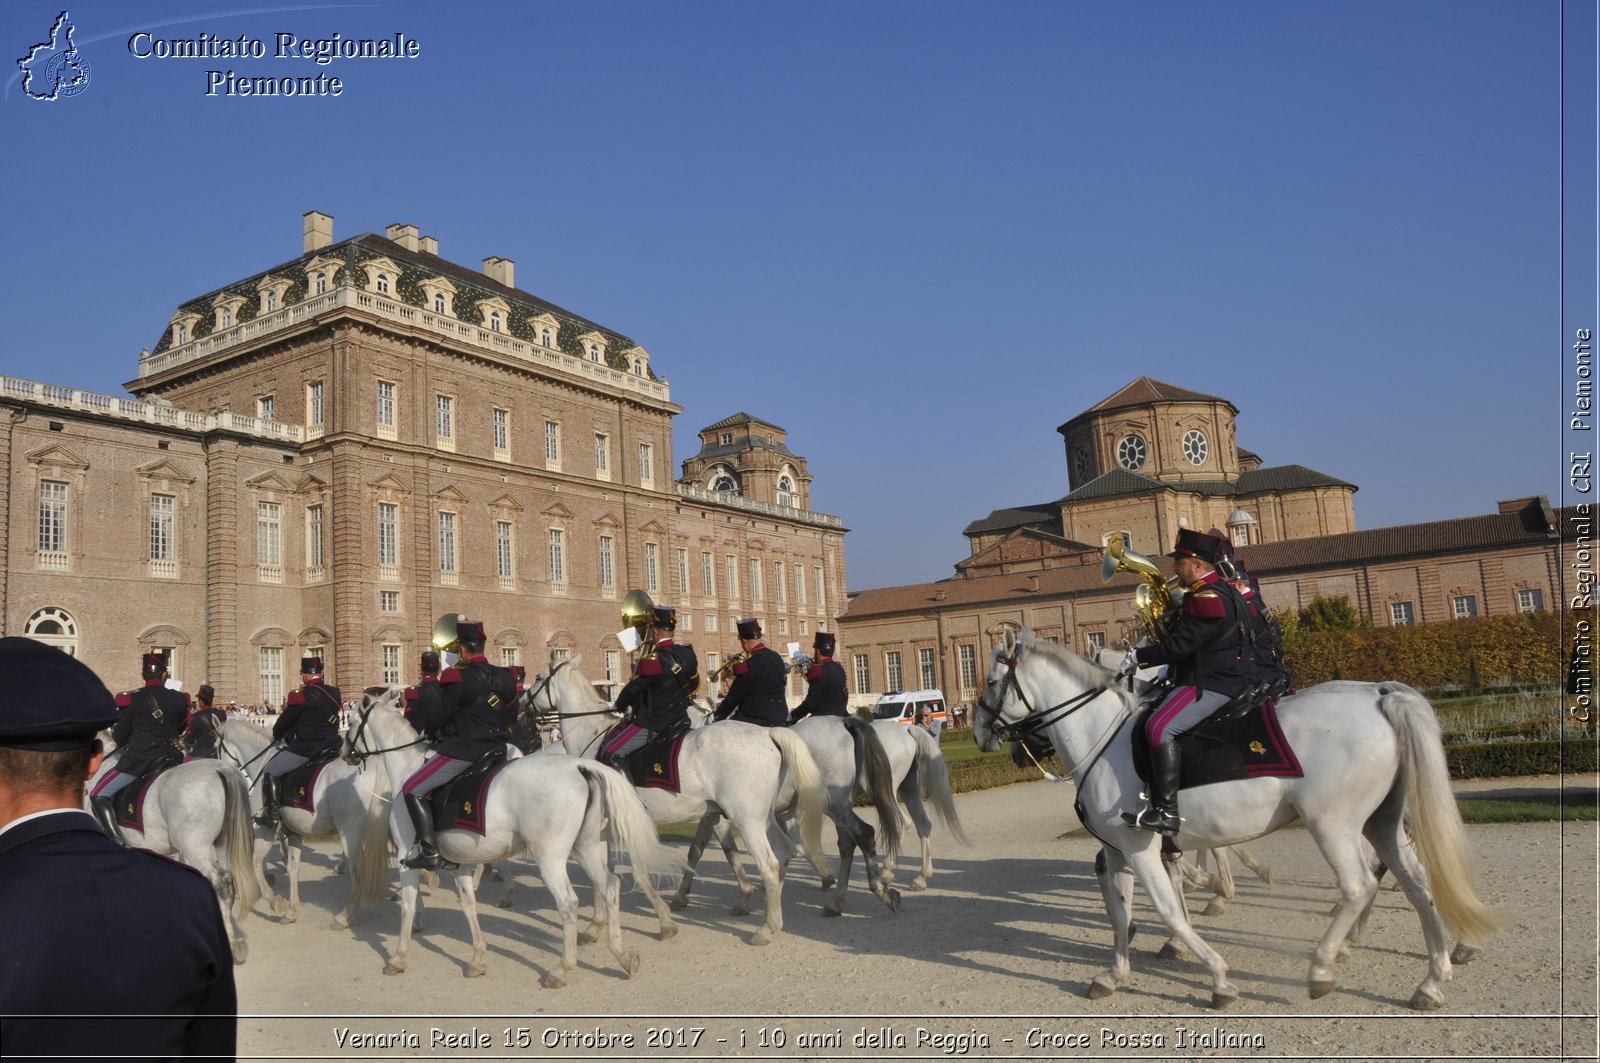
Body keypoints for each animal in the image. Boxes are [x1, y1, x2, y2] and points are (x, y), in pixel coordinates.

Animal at [216, 714, 390, 928]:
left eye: (216, 746)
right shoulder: (294, 832)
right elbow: (293, 869)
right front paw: (291, 911)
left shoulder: (266, 830)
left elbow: (255, 863)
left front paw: (276, 902)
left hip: (349, 833)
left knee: (358, 871)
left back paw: (343, 916)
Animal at [344, 694, 681, 986]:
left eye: (352, 721)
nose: (345, 752)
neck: (407, 769)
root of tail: (578, 765)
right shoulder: (462, 864)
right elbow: (469, 905)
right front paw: (477, 959)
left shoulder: (407, 858)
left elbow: (409, 906)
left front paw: (398, 957)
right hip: (586, 848)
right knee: (609, 887)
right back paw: (622, 954)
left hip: (550, 858)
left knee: (568, 903)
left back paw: (562, 968)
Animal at [528, 656, 825, 947]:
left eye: (538, 678)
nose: (523, 702)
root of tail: (766, 733)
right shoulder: (612, 826)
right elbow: (606, 873)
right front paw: (596, 926)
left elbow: (633, 871)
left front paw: (664, 919)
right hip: (763, 818)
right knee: (783, 851)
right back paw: (774, 914)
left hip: (747, 820)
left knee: (769, 863)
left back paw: (767, 927)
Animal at [966, 627, 1504, 1011]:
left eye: (991, 682)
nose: (980, 735)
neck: (1105, 735)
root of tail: (1378, 693)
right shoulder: (1120, 851)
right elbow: (1120, 914)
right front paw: (1114, 975)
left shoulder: (1141, 847)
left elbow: (1170, 911)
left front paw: (1218, 976)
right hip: (1382, 823)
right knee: (1417, 884)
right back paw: (1432, 979)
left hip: (1333, 825)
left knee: (1360, 885)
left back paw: (1323, 966)